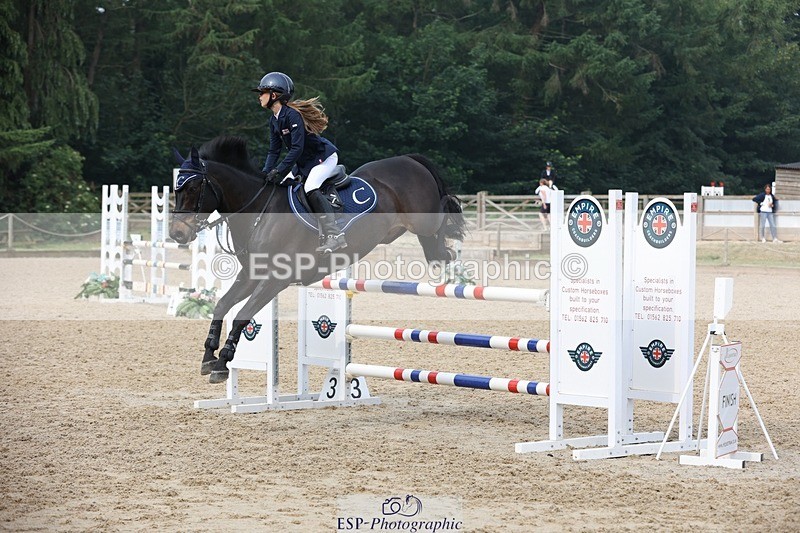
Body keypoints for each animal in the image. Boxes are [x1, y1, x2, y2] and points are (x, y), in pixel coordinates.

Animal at [169, 136, 466, 384]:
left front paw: (222, 362)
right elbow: (222, 305)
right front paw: (208, 357)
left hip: (423, 219)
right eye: (176, 189)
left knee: (444, 209)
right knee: (431, 247)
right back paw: (444, 252)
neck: (259, 212)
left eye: (193, 187)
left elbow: (242, 316)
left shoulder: (275, 280)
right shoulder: (251, 275)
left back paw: (453, 235)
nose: (176, 233)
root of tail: (408, 159)